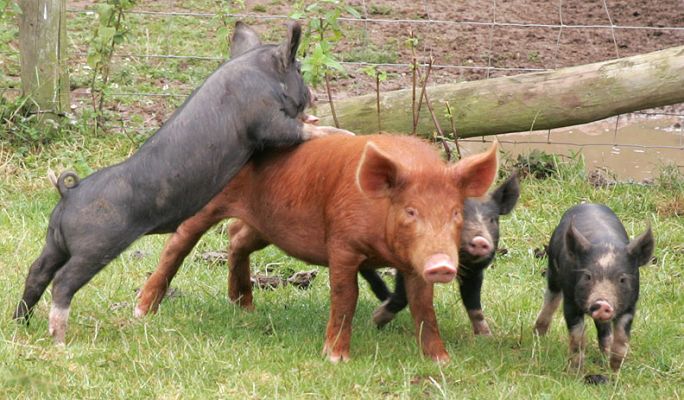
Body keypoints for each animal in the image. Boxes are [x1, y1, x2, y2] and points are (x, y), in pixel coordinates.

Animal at [13, 21, 341, 344]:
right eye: (298, 69)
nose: (315, 96)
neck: (257, 72)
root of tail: (68, 192)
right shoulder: (264, 118)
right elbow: (292, 130)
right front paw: (338, 133)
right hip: (95, 245)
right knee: (62, 281)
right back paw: (59, 340)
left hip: (54, 242)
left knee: (36, 272)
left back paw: (21, 323)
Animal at [135, 134, 499, 362]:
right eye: (411, 211)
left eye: (456, 212)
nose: (442, 264)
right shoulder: (342, 244)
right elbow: (345, 295)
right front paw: (336, 357)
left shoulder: (412, 263)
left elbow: (424, 306)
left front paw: (440, 360)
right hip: (212, 200)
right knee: (179, 241)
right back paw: (143, 310)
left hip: (269, 225)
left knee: (237, 237)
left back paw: (245, 307)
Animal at [361, 173, 520, 335]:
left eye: (492, 220)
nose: (480, 240)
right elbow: (402, 296)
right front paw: (375, 320)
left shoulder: (474, 271)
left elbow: (474, 302)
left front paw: (486, 336)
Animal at [533, 203, 654, 371]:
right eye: (588, 276)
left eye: (622, 279)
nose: (602, 303)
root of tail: (588, 204)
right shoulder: (570, 301)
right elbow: (577, 337)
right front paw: (575, 371)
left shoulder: (630, 306)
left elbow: (622, 339)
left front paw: (614, 369)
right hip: (552, 268)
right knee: (551, 298)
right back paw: (538, 335)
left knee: (605, 331)